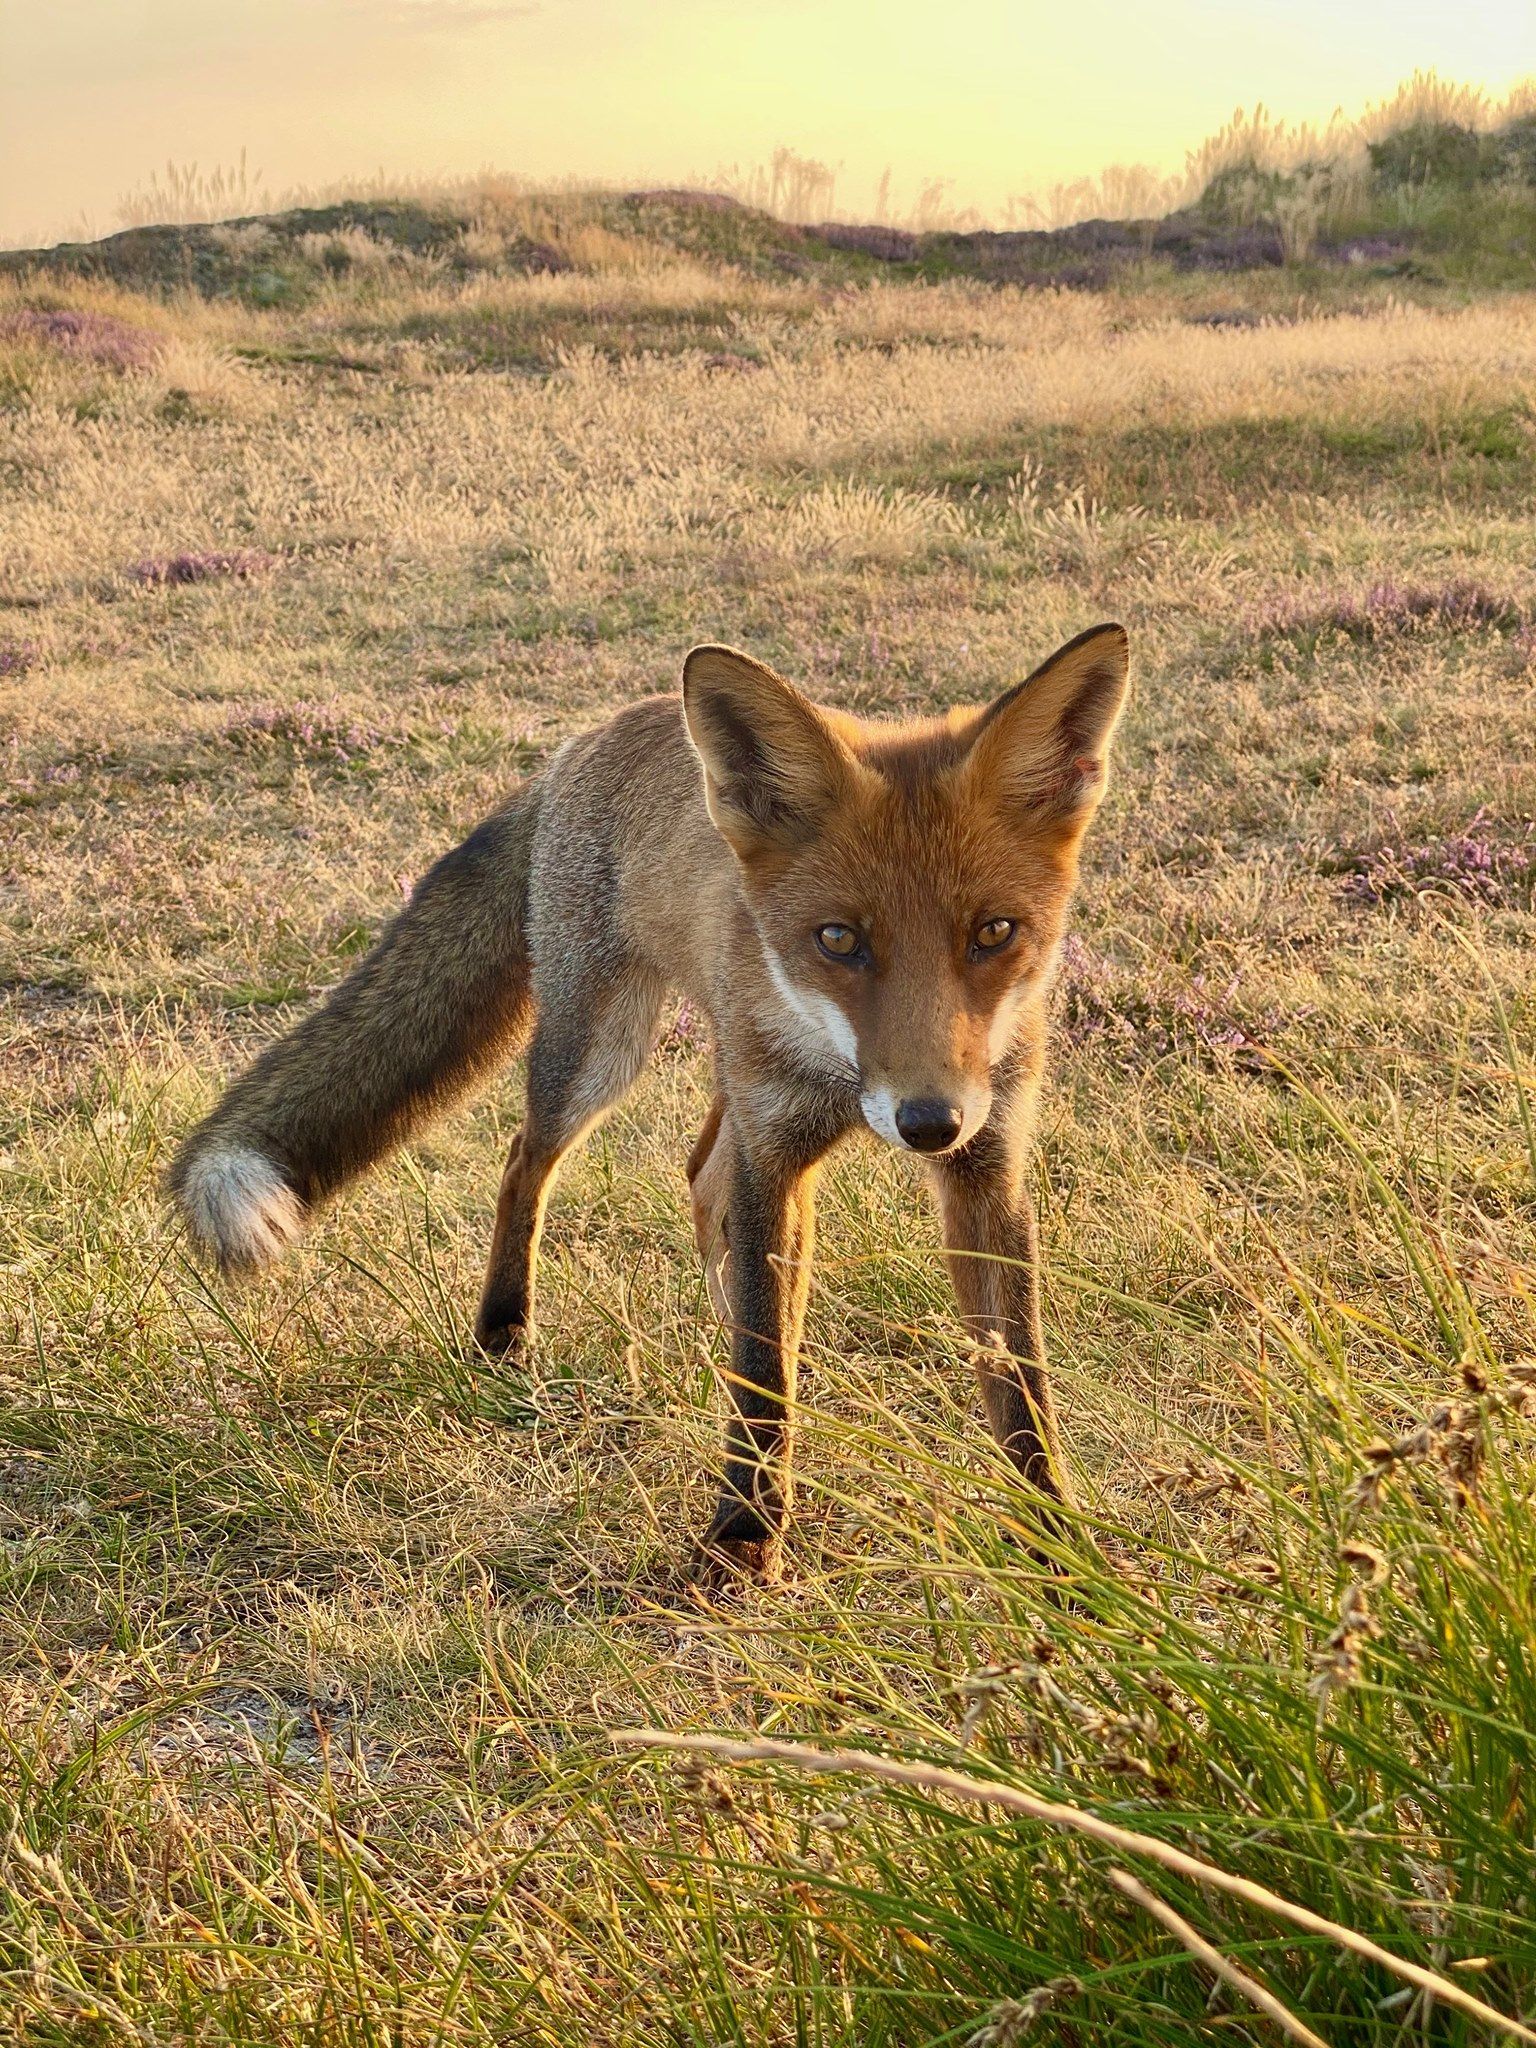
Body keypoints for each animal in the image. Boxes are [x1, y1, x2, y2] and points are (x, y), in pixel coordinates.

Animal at [170, 623, 1131, 1577]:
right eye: (838, 940)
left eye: (995, 933)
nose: (928, 1124)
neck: (837, 1072)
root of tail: (589, 739)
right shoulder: (775, 1149)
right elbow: (766, 1372)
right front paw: (745, 1532)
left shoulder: (986, 1166)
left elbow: (1019, 1382)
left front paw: (1059, 1545)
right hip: (601, 1054)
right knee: (527, 1162)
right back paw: (503, 1334)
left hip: (722, 1080)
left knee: (701, 1179)